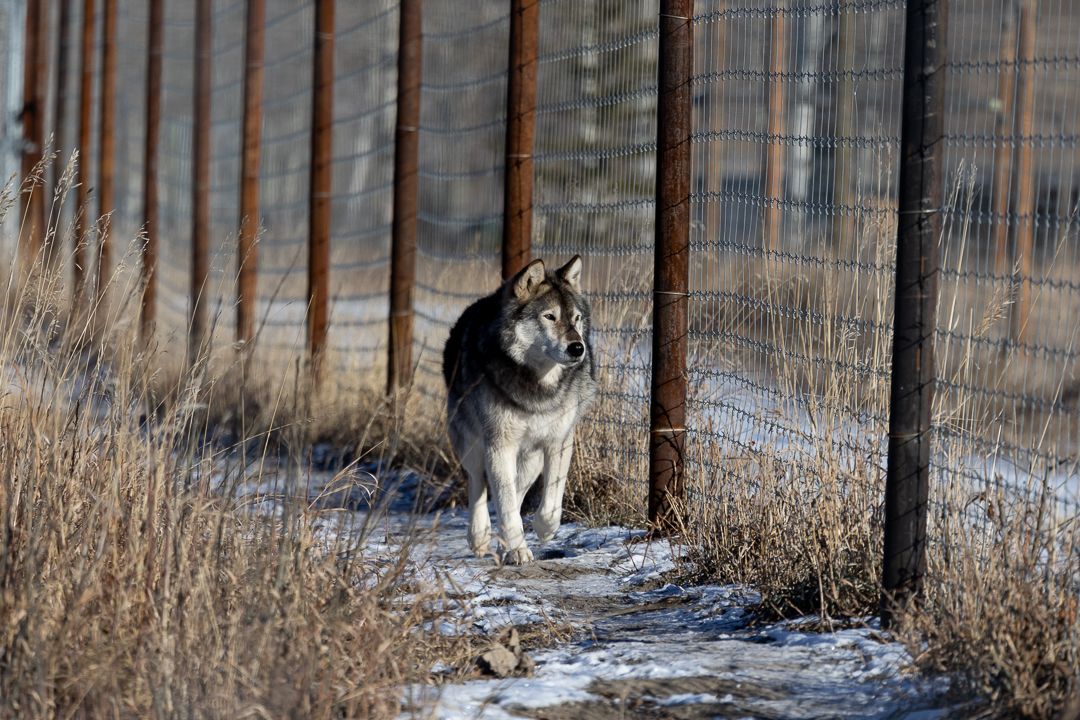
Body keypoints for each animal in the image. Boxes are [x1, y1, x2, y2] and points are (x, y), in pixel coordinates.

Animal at [442, 256, 597, 564]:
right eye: (549, 317)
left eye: (576, 318)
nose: (578, 348)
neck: (537, 387)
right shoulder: (499, 445)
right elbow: (503, 501)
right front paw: (517, 549)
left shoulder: (559, 442)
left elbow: (550, 502)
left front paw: (543, 530)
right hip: (471, 445)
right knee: (479, 484)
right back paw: (480, 538)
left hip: (530, 459)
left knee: (515, 489)